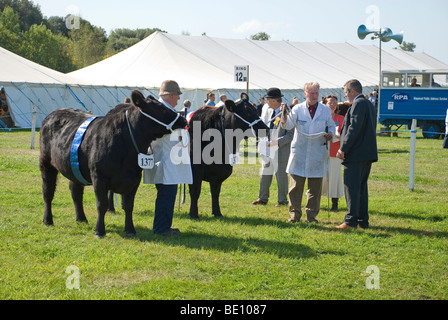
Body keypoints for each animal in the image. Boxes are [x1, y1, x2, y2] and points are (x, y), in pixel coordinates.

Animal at [38, 90, 186, 238]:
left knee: (76, 191)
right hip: (46, 163)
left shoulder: (135, 179)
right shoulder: (99, 177)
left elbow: (129, 206)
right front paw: (99, 231)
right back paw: (48, 220)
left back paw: (81, 218)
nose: (183, 120)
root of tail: (54, 113)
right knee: (48, 191)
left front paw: (130, 230)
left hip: (74, 167)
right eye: (161, 108)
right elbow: (101, 205)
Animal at [187, 91, 268, 219]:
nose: (266, 128)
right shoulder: (195, 171)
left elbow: (215, 193)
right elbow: (195, 192)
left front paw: (217, 213)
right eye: (248, 112)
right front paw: (194, 214)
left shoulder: (218, 173)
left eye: (256, 111)